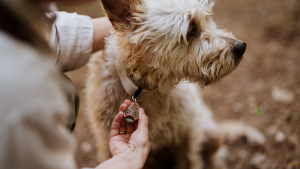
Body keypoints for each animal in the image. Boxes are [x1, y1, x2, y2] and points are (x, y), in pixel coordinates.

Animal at [84, 0, 262, 169]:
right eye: (191, 30)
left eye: (207, 19)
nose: (241, 47)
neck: (147, 90)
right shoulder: (106, 144)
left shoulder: (187, 136)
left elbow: (190, 161)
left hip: (211, 133)